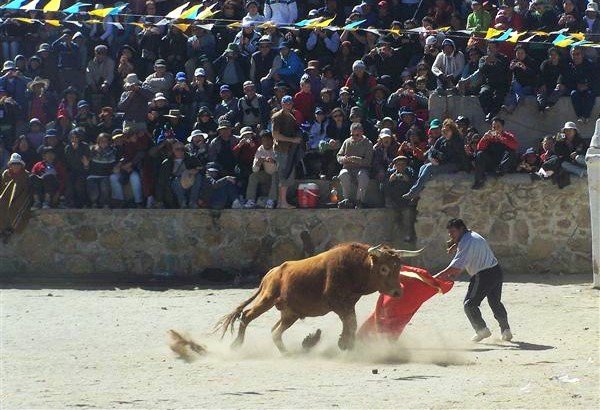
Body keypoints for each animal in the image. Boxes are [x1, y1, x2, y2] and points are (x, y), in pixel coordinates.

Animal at [214, 243, 422, 352]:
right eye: (384, 268)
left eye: (398, 267)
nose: (398, 292)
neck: (355, 267)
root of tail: (272, 272)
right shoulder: (337, 303)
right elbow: (351, 322)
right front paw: (344, 343)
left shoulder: (348, 304)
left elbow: (351, 322)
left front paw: (345, 343)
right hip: (268, 298)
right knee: (247, 315)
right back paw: (236, 345)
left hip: (291, 313)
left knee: (275, 331)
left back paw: (288, 352)